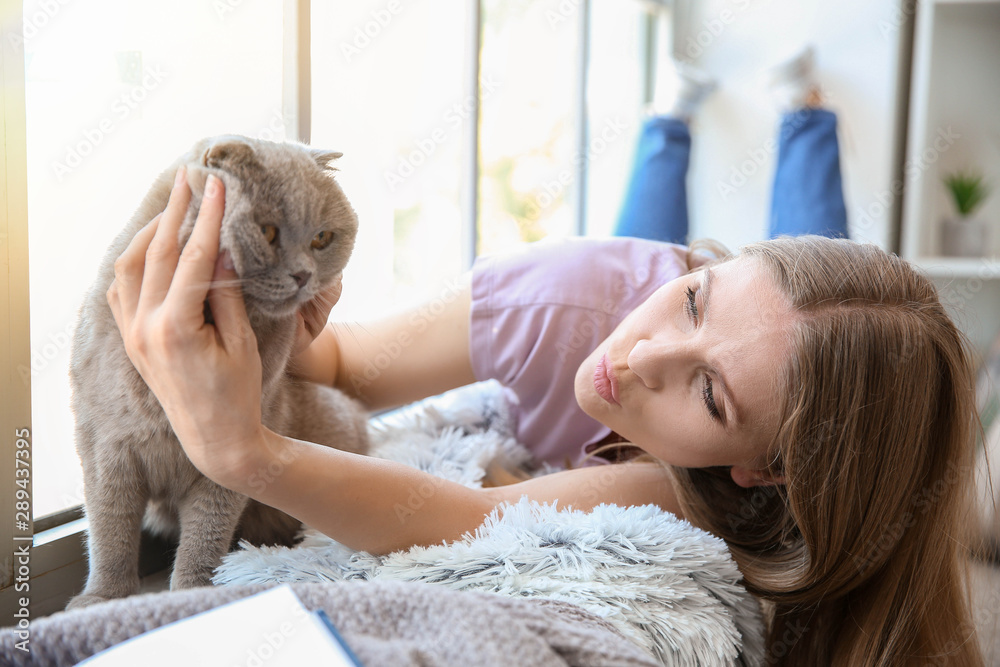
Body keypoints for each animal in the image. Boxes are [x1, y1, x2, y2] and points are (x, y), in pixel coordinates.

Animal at [67, 136, 372, 612]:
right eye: (267, 232)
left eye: (322, 238)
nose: (303, 274)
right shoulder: (104, 447)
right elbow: (109, 529)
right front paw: (103, 597)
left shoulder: (228, 458)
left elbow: (205, 535)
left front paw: (192, 595)